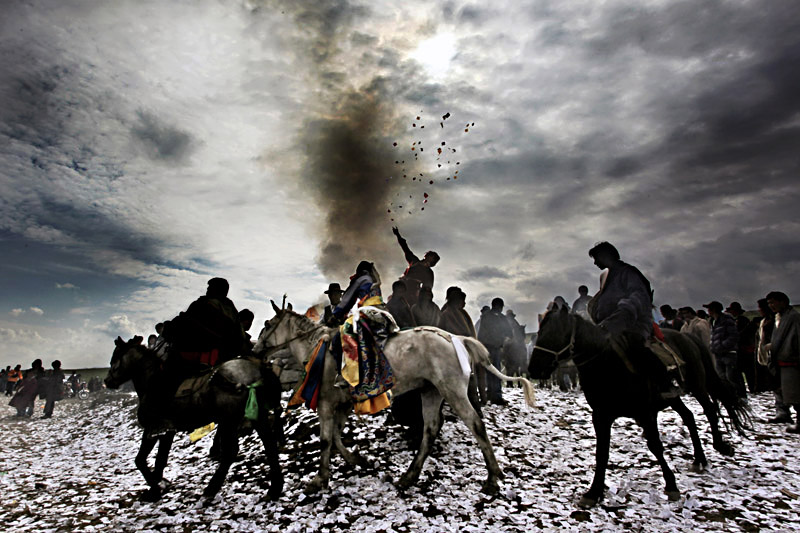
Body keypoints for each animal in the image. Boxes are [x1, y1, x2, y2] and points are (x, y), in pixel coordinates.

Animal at [104, 336, 282, 502]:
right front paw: (159, 484)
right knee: (269, 444)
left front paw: (154, 489)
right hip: (254, 417)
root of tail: (257, 369)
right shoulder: (167, 432)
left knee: (230, 453)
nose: (107, 381)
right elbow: (160, 460)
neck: (151, 383)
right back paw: (275, 488)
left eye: (114, 359)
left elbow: (141, 460)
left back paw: (211, 489)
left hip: (229, 420)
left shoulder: (153, 429)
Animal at [253, 304, 536, 494]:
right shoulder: (342, 404)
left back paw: (492, 476)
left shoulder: (326, 404)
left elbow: (326, 439)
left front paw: (320, 479)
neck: (317, 348)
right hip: (431, 391)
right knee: (430, 429)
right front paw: (356, 460)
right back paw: (410, 476)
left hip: (453, 391)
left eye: (267, 324)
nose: (255, 351)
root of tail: (455, 338)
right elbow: (335, 436)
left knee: (475, 423)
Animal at [528, 306, 748, 504]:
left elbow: (656, 446)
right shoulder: (601, 415)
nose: (534, 369)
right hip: (672, 397)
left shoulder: (645, 412)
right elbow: (602, 452)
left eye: (557, 333)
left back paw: (720, 446)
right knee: (689, 416)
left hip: (698, 385)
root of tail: (687, 337)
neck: (607, 364)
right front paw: (594, 491)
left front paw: (671, 485)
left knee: (709, 409)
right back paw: (699, 459)